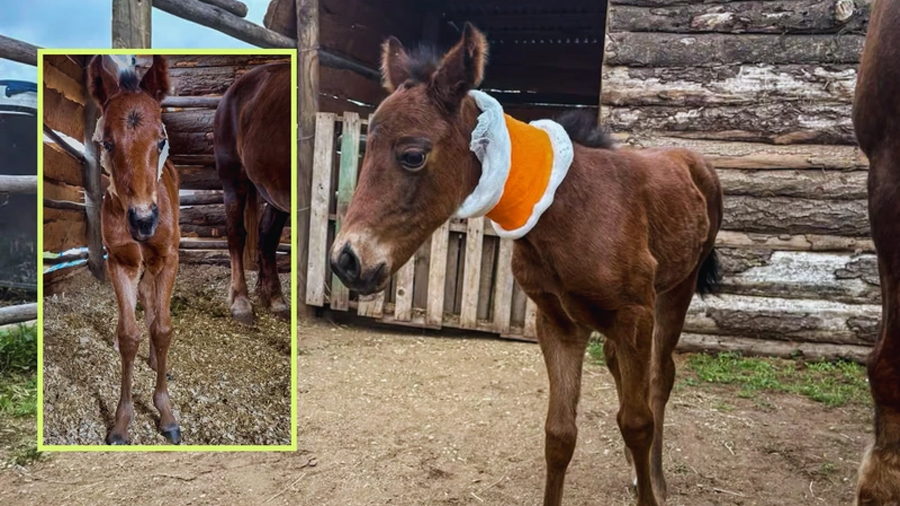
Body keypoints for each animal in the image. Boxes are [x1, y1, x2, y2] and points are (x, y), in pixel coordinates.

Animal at [329, 24, 723, 506]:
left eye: (413, 155)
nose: (346, 260)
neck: (567, 210)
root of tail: (693, 160)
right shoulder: (558, 322)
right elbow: (559, 435)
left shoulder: (634, 314)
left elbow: (637, 421)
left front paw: (649, 485)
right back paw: (636, 469)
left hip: (676, 291)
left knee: (659, 379)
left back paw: (657, 477)